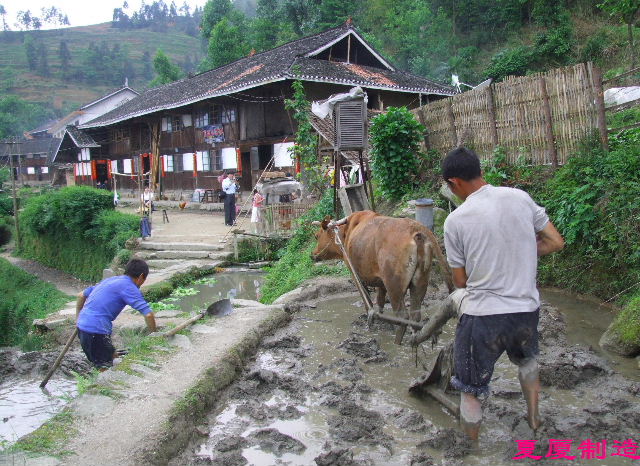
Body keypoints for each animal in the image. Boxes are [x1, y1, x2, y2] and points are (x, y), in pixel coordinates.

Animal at [312, 210, 452, 342]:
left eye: (316, 236)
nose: (313, 254)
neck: (347, 233)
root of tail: (416, 229)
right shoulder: (380, 281)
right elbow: (380, 301)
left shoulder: (355, 275)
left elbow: (368, 303)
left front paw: (370, 322)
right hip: (419, 283)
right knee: (415, 316)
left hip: (394, 285)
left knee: (403, 317)